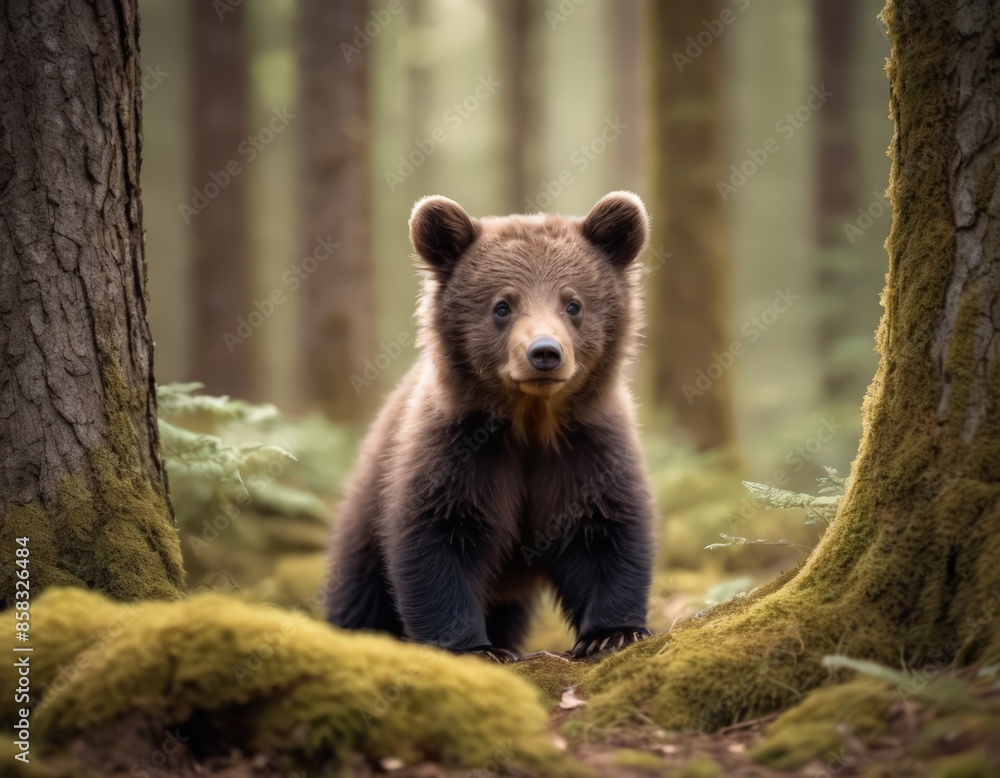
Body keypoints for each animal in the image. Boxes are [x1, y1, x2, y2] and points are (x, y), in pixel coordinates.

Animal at [324, 191, 656, 662]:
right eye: (502, 306)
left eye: (573, 304)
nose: (545, 353)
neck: (531, 422)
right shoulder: (459, 449)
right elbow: (440, 539)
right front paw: (475, 649)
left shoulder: (587, 448)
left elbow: (605, 530)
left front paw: (613, 633)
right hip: (363, 518)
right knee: (358, 595)